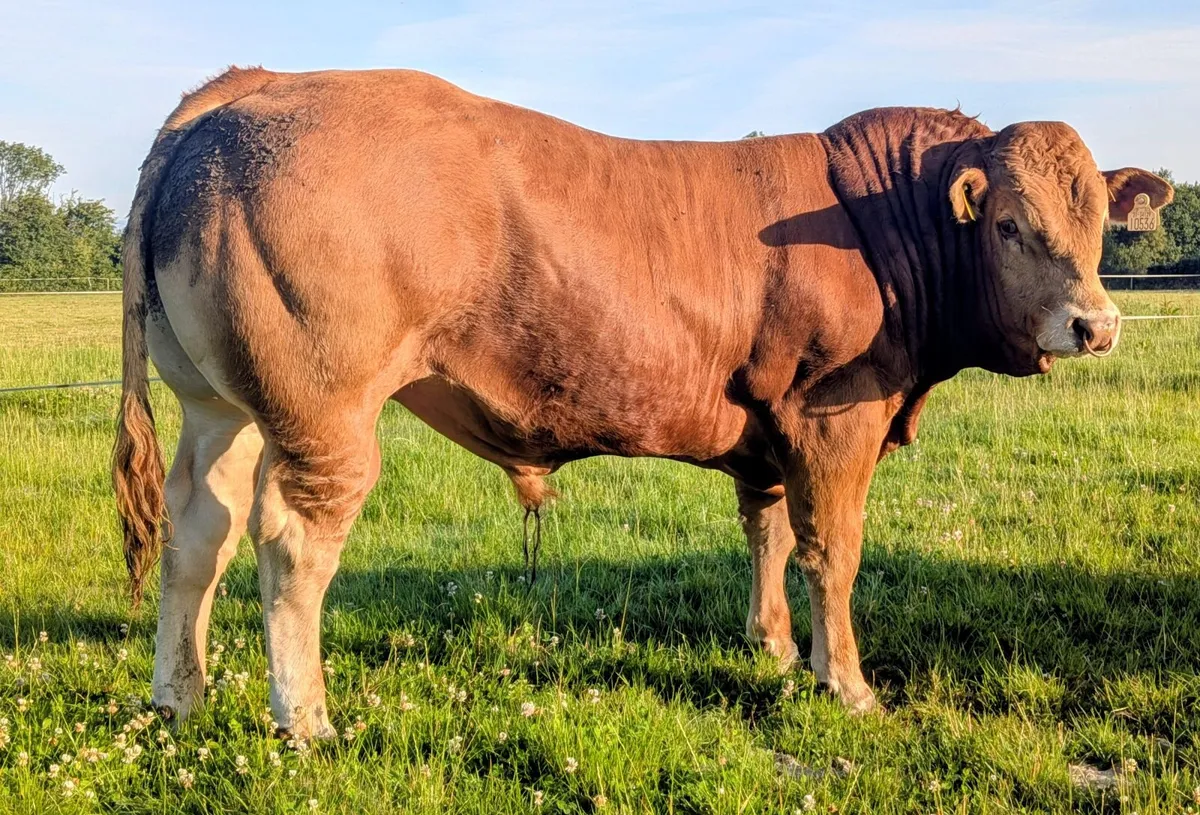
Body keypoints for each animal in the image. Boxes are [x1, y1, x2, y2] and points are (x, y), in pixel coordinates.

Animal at [113, 66, 1172, 737]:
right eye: (1008, 224)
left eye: (1095, 222)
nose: (1095, 324)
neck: (872, 223)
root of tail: (257, 83)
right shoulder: (833, 420)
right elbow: (832, 553)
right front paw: (848, 683)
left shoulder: (769, 428)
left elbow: (768, 533)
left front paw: (775, 651)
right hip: (326, 416)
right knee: (291, 542)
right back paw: (310, 721)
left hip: (220, 405)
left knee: (198, 529)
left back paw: (180, 695)